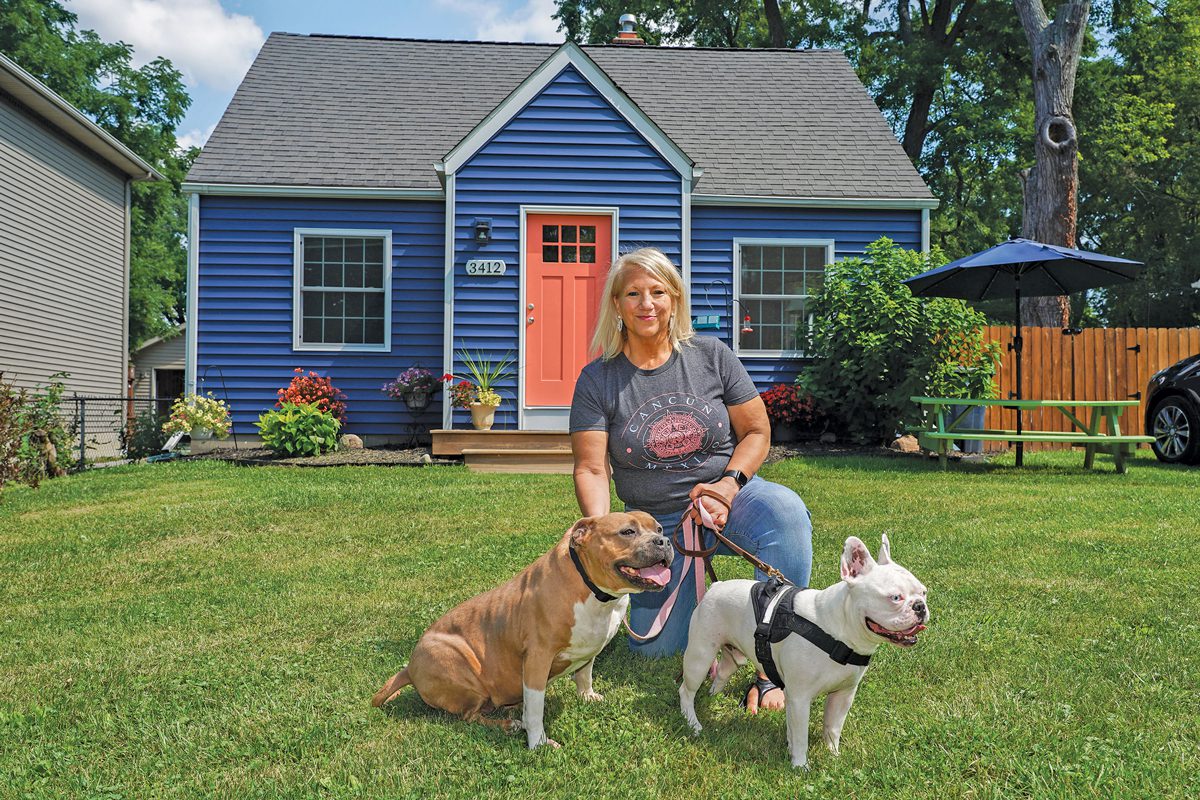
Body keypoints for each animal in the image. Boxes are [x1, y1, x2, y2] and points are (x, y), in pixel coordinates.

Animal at [372, 513, 676, 753]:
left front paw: (587, 696)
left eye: (659, 528)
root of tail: (409, 668)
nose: (664, 541)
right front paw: (538, 743)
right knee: (469, 716)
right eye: (627, 532)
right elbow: (535, 708)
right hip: (460, 671)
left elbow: (584, 674)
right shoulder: (537, 660)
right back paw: (507, 723)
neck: (593, 590)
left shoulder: (589, 649)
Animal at [686, 537, 926, 767]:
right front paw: (800, 766)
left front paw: (833, 755)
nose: (920, 606)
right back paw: (693, 722)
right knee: (686, 691)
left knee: (721, 674)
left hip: (734, 657)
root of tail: (716, 586)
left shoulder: (842, 695)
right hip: (700, 657)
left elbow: (832, 728)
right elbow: (801, 736)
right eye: (895, 597)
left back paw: (713, 697)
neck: (839, 633)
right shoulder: (800, 699)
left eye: (924, 592)